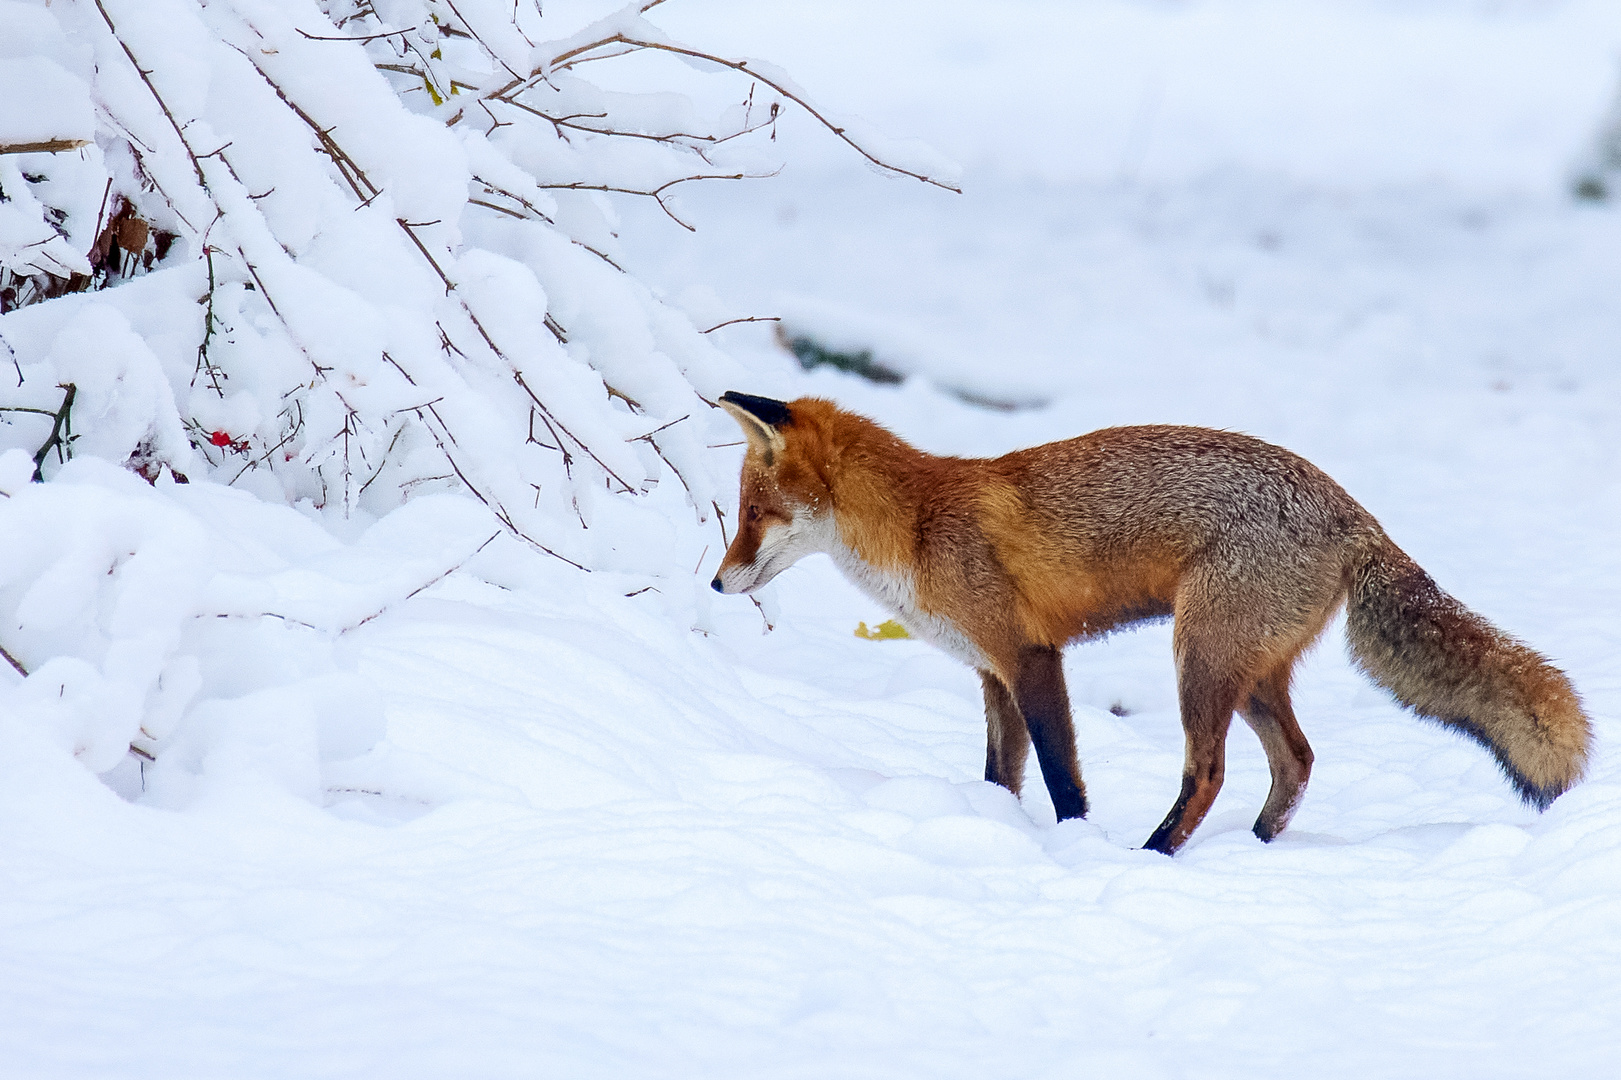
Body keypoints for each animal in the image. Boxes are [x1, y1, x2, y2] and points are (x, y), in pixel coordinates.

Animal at [713, 390, 1595, 856]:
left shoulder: (1030, 657)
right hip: (1249, 673)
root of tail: (1354, 513)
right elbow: (1002, 776)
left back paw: (1155, 854)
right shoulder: (990, 674)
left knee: (1209, 773)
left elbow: (1062, 778)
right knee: (1297, 760)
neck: (921, 524)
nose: (718, 583)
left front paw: (1074, 850)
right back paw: (1255, 846)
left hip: (1198, 659)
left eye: (753, 514)